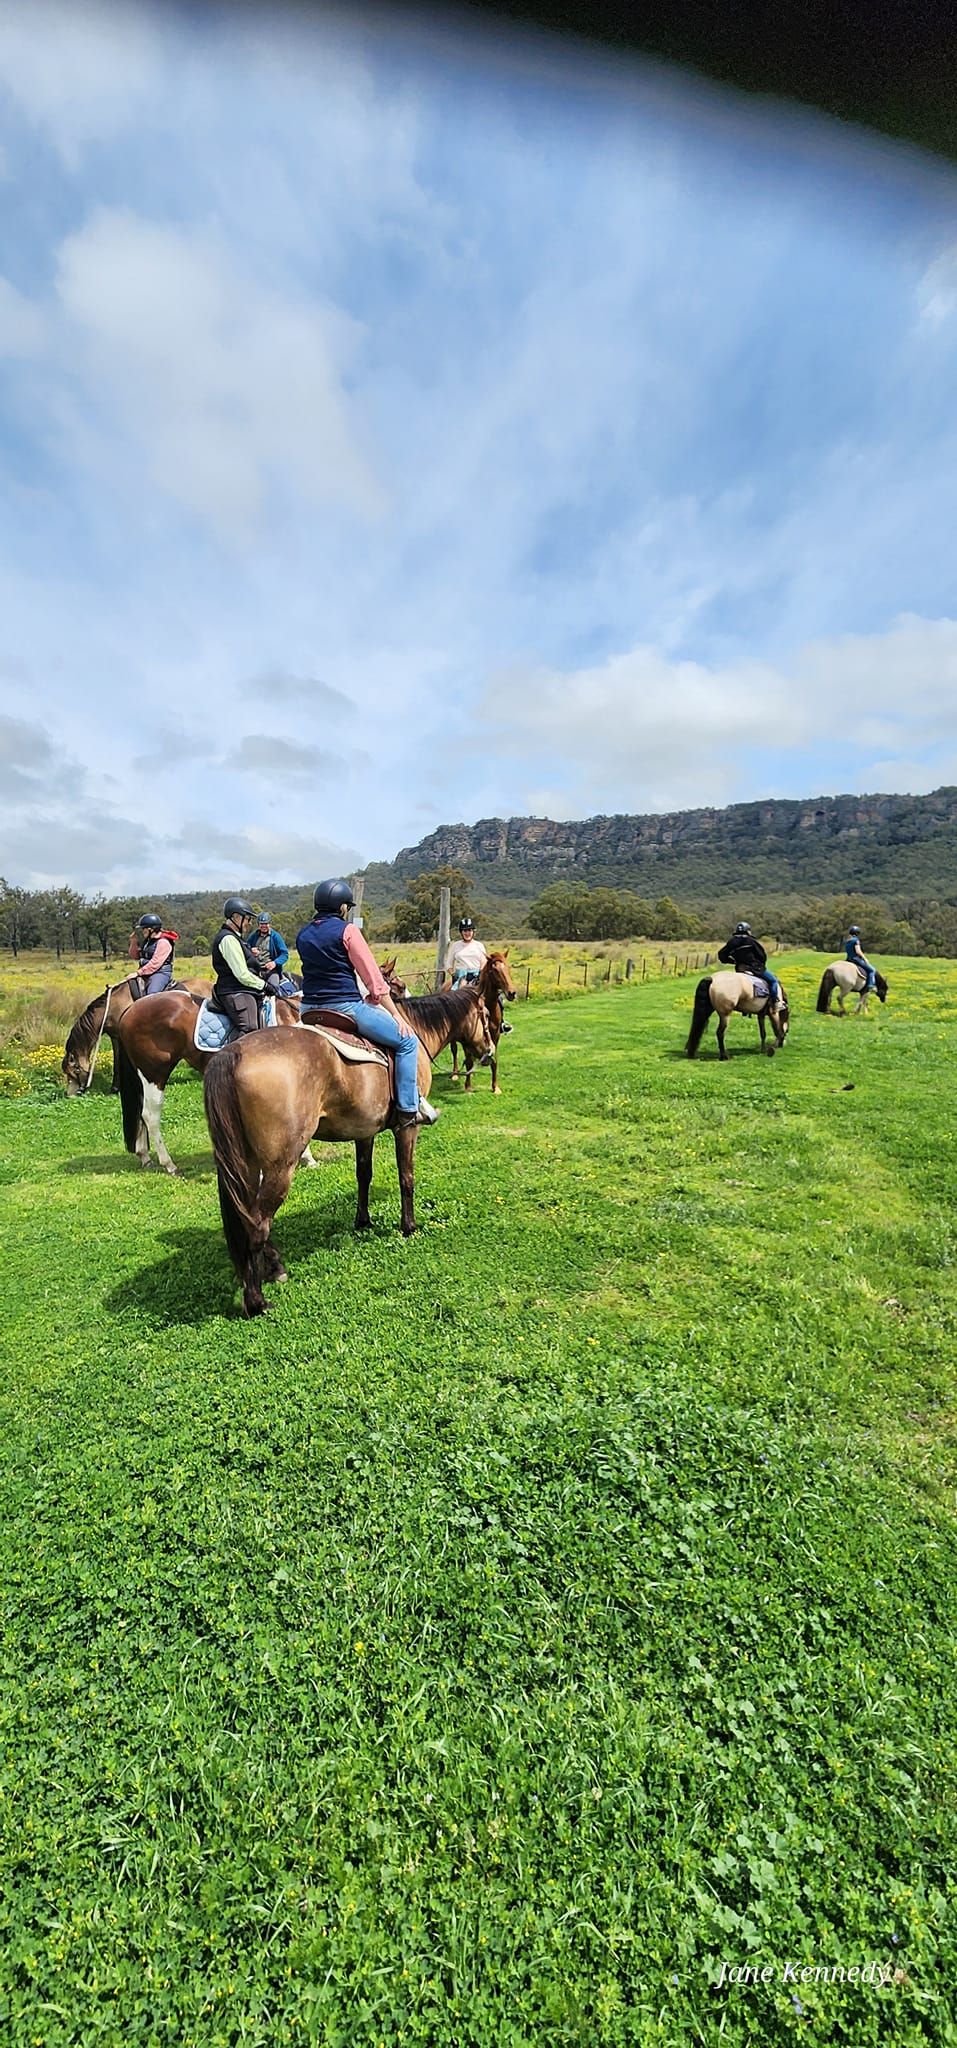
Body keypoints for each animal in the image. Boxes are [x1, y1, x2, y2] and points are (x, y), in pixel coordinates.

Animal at [205, 987, 497, 1310]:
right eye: (486, 1013)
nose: (490, 1051)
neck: (415, 1030)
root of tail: (233, 1053)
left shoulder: (364, 1132)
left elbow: (364, 1176)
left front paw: (363, 1221)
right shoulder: (407, 1129)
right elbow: (406, 1178)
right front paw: (409, 1226)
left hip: (248, 1164)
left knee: (247, 1215)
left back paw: (274, 1266)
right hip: (281, 1166)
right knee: (257, 1223)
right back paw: (257, 1300)